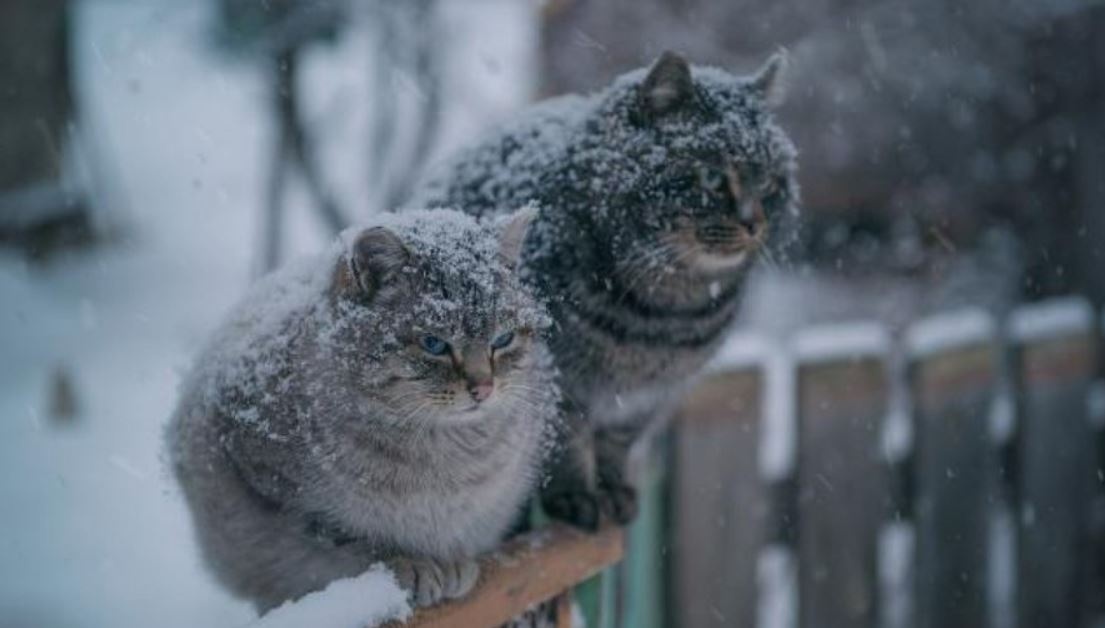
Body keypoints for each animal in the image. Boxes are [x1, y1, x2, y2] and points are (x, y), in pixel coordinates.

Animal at [166, 208, 556, 610]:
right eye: (434, 344)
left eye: (503, 339)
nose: (483, 388)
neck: (444, 451)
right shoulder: (279, 489)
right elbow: (353, 540)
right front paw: (413, 563)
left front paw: (451, 563)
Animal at [411, 50, 800, 530]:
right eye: (711, 177)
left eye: (769, 182)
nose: (754, 223)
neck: (665, 316)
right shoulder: (560, 380)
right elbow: (568, 442)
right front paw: (578, 496)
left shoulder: (648, 397)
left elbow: (617, 443)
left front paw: (613, 490)